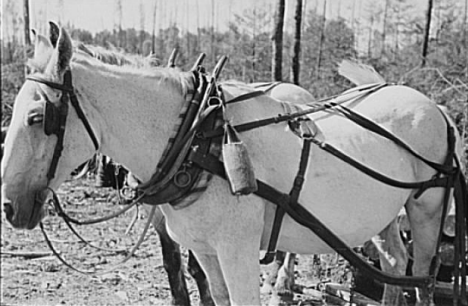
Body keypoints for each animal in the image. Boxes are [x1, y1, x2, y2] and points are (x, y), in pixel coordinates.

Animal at [2, 22, 464, 306]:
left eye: (37, 117)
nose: (8, 206)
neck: (197, 140)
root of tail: (437, 107)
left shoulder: (237, 249)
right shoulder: (206, 249)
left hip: (427, 208)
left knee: (423, 279)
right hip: (382, 216)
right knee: (395, 265)